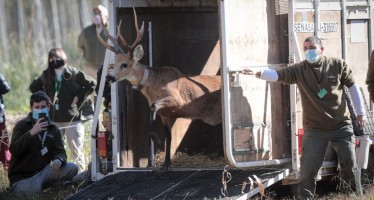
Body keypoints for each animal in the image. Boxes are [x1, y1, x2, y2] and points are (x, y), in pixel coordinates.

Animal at [97, 8, 222, 170]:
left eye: (124, 64)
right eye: (115, 63)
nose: (109, 77)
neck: (154, 84)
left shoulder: (177, 100)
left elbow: (153, 106)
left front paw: (156, 139)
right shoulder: (166, 114)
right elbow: (168, 136)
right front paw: (166, 165)